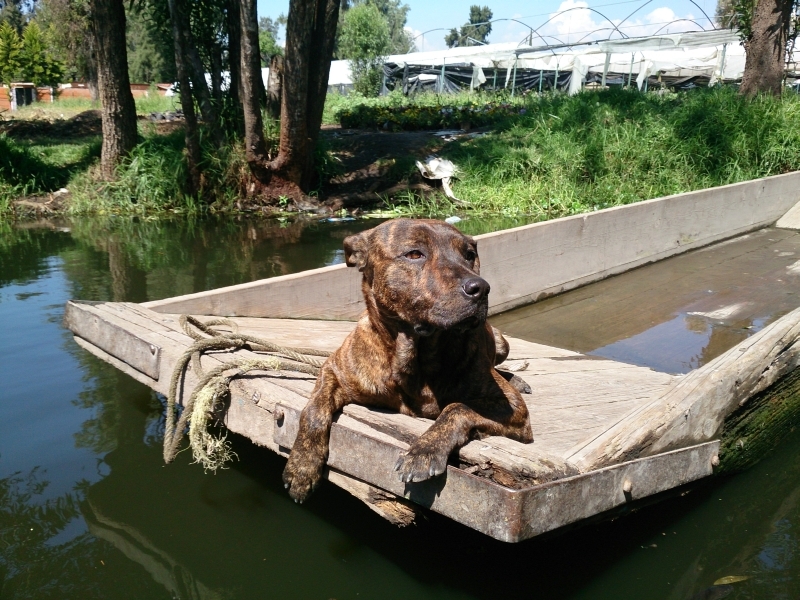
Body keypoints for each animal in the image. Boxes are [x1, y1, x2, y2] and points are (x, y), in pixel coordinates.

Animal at [282, 217, 532, 502]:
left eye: (469, 255)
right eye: (414, 254)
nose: (480, 288)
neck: (415, 354)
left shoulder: (513, 408)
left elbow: (456, 407)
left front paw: (424, 451)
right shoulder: (333, 369)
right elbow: (313, 410)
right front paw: (302, 467)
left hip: (501, 341)